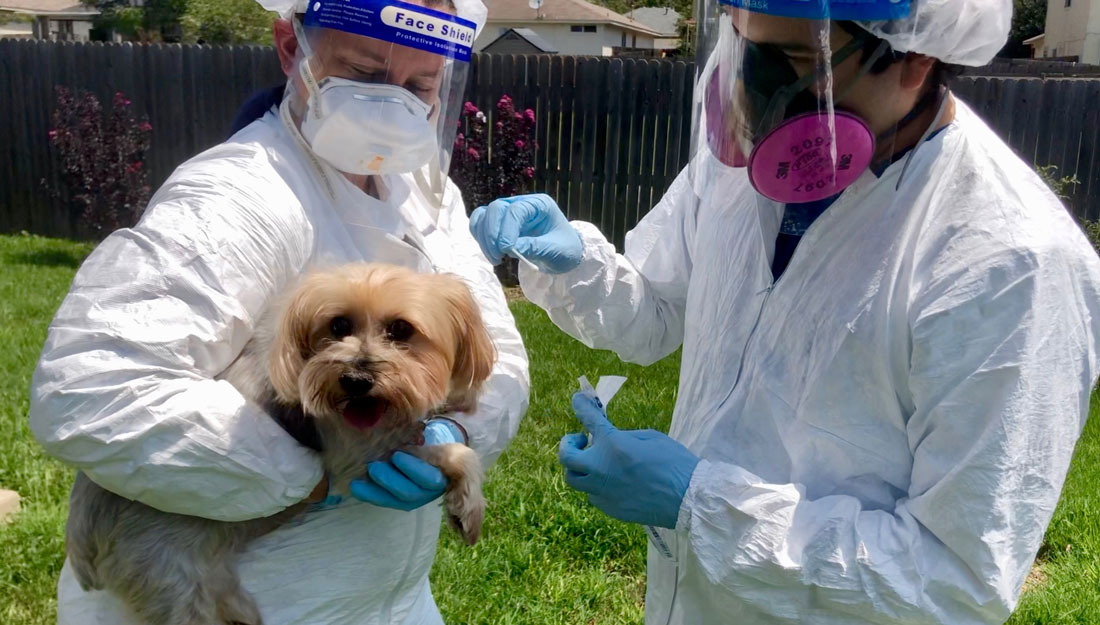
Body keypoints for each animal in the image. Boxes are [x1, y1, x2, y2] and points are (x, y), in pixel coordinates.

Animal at [66, 262, 497, 625]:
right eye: (338, 325)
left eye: (402, 330)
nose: (354, 380)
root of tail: (81, 534)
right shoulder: (355, 458)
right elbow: (459, 455)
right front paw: (467, 506)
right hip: (166, 577)